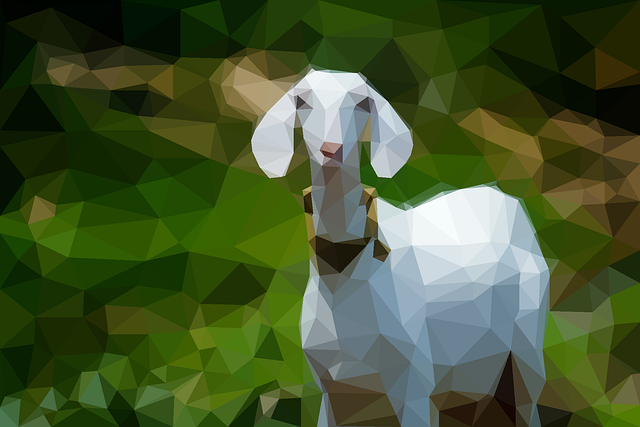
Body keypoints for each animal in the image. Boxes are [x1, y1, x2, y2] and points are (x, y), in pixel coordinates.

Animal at [251, 68, 549, 427]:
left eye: (361, 104)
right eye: (303, 102)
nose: (331, 150)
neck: (346, 272)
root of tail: (503, 196)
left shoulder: (413, 388)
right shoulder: (332, 392)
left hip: (524, 355)